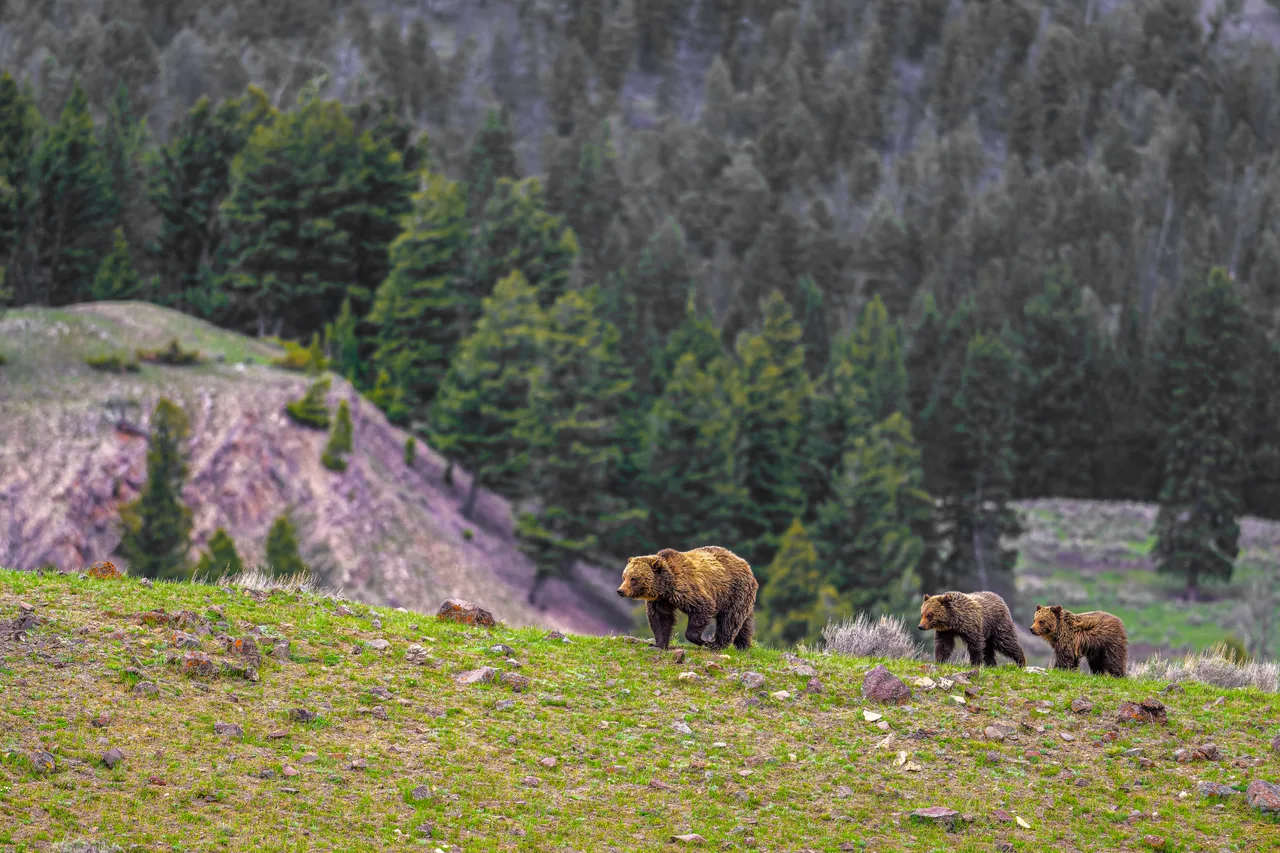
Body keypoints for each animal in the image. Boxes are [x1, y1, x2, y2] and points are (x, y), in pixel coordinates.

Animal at [617, 546, 758, 652]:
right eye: (624, 577)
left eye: (634, 579)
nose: (620, 591)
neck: (667, 586)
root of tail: (745, 563)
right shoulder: (661, 601)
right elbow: (661, 619)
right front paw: (658, 644)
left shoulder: (688, 590)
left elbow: (703, 608)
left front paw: (703, 641)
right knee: (744, 622)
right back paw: (744, 645)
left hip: (734, 591)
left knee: (729, 619)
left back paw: (717, 644)